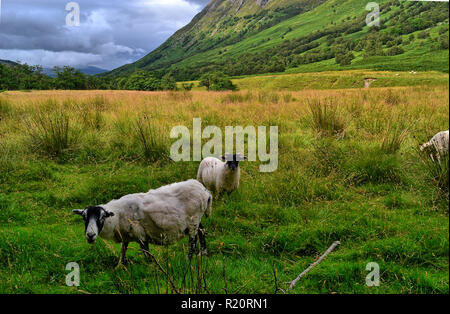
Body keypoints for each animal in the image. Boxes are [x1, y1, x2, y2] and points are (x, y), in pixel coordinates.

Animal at [73, 179, 214, 264]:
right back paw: (203, 254)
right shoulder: (126, 236)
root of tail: (205, 191)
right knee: (202, 231)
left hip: (194, 219)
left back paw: (188, 259)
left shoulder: (140, 234)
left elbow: (147, 253)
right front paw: (120, 266)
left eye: (102, 217)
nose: (90, 235)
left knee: (193, 240)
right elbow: (123, 250)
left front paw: (151, 267)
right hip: (195, 220)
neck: (116, 217)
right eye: (84, 218)